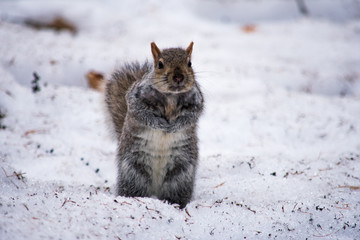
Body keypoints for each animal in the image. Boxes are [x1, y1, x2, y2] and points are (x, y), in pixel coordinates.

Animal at [105, 42, 204, 207]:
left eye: (189, 63)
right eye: (160, 64)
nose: (178, 77)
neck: (171, 96)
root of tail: (155, 190)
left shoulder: (197, 100)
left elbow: (191, 115)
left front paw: (175, 126)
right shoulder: (135, 98)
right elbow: (142, 113)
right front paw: (161, 124)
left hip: (180, 175)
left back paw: (174, 204)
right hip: (133, 171)